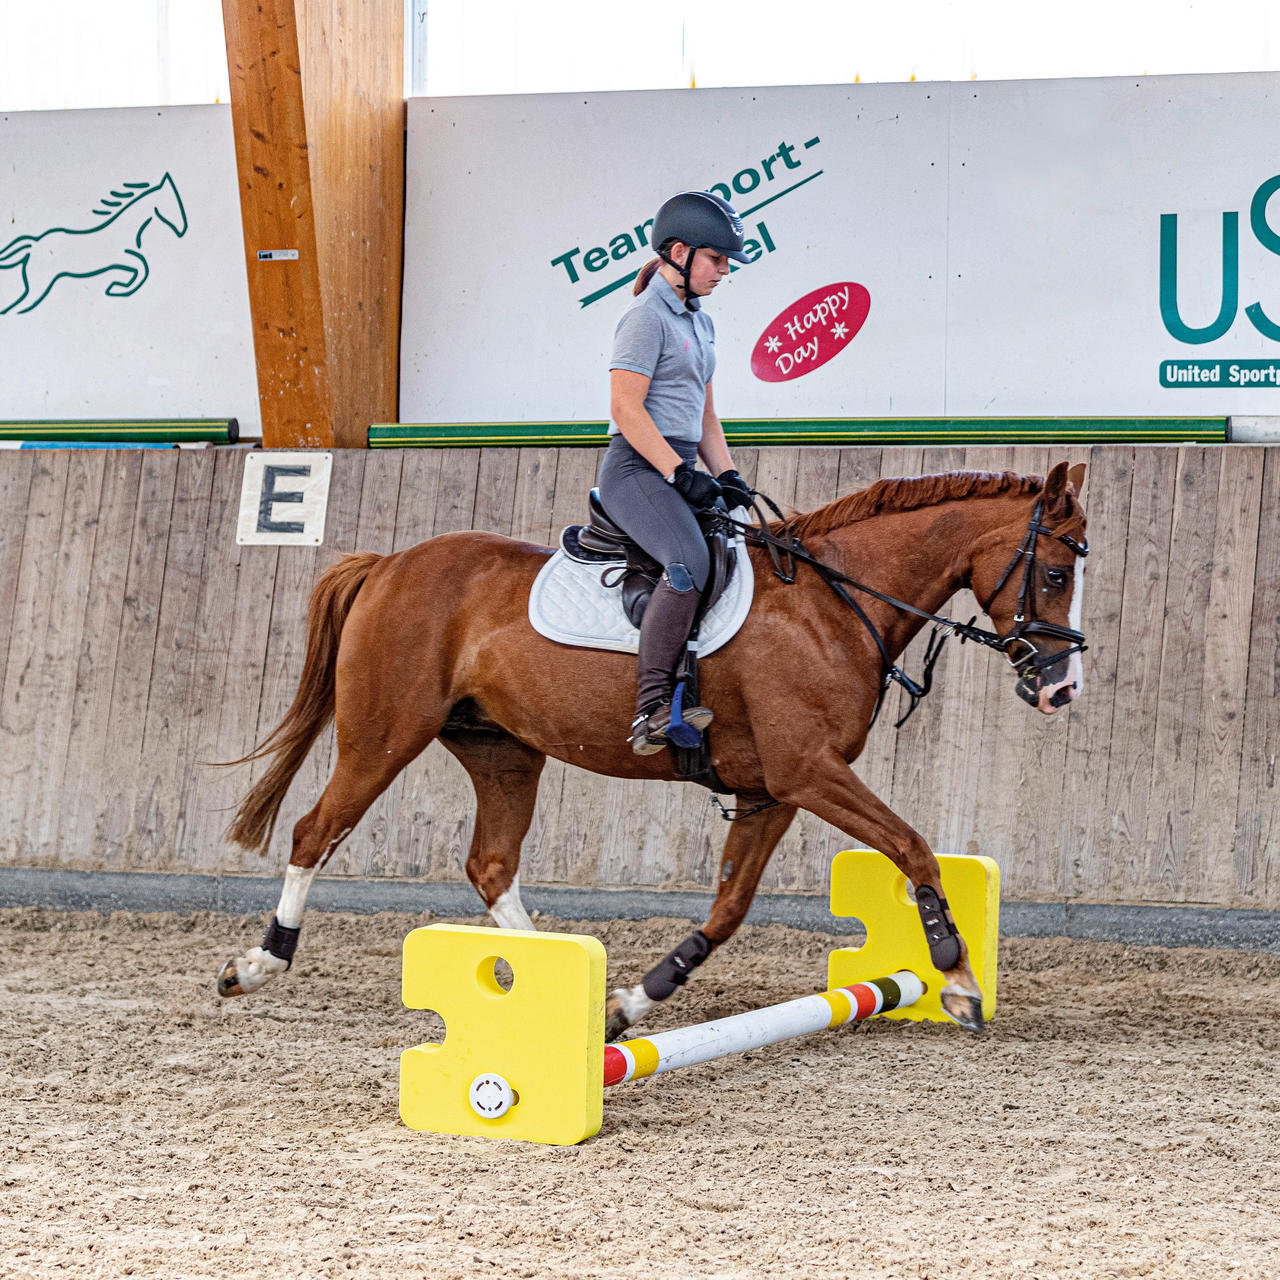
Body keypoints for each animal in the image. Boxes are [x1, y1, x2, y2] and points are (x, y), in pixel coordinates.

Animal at [220, 463, 1090, 1039]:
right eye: (1053, 573)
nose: (1061, 688)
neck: (832, 604)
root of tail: (389, 564)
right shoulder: (809, 771)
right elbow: (912, 848)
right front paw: (957, 975)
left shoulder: (773, 790)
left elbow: (729, 909)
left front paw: (630, 1003)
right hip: (384, 737)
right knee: (316, 832)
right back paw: (259, 964)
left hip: (504, 751)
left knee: (491, 865)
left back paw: (549, 980)